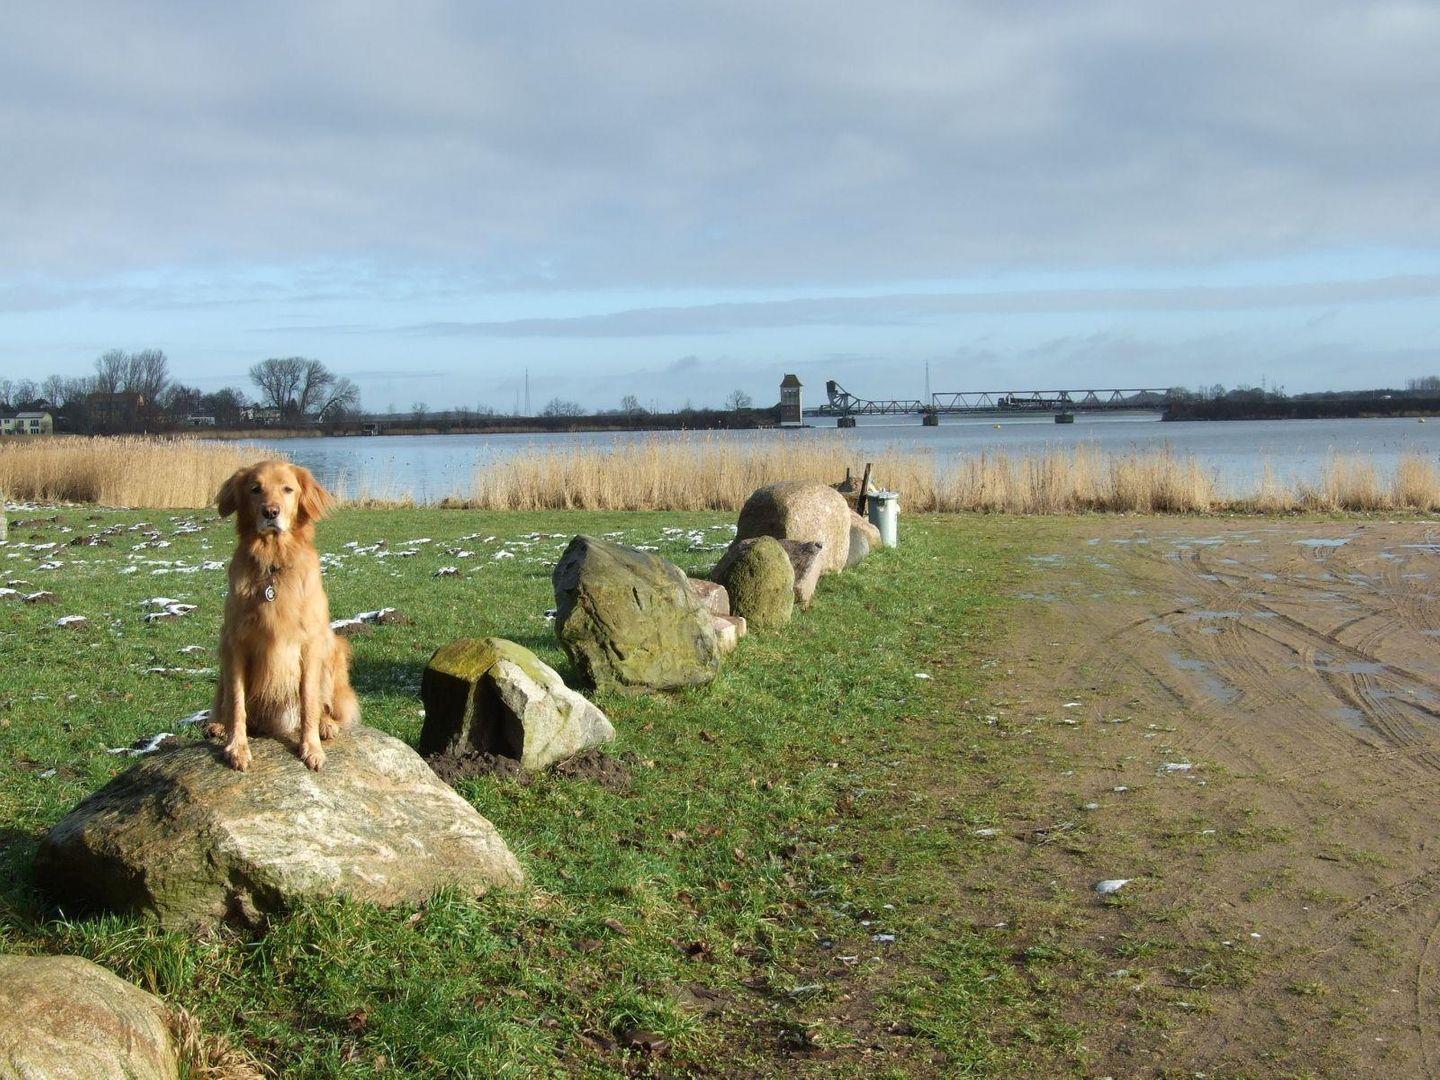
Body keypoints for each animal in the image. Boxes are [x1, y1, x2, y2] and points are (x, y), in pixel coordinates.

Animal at [211, 460, 359, 771]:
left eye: (288, 489)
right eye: (255, 489)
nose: (270, 512)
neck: (273, 563)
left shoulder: (310, 644)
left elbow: (309, 700)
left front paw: (311, 747)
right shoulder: (234, 643)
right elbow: (237, 702)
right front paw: (237, 747)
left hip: (334, 648)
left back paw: (326, 725)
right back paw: (218, 726)